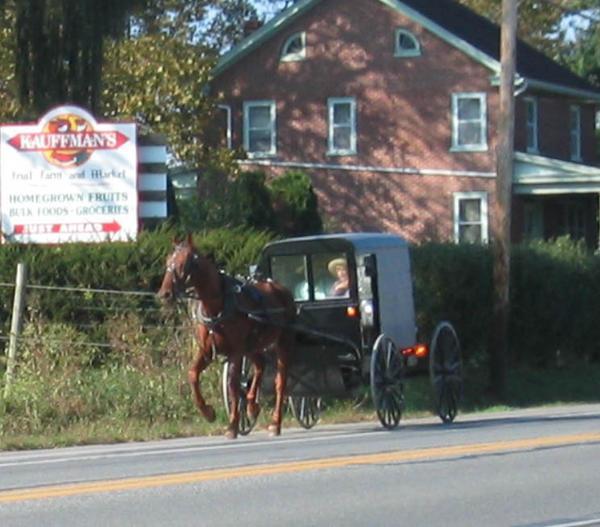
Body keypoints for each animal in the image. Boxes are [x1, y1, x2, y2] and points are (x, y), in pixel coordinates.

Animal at [156, 237, 294, 440]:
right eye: (167, 261)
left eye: (185, 262)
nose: (164, 293)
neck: (217, 306)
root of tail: (282, 288)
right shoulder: (207, 351)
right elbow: (193, 374)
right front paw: (208, 412)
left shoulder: (235, 352)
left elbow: (232, 385)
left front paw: (232, 426)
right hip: (252, 346)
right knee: (260, 365)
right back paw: (252, 406)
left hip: (282, 342)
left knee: (280, 382)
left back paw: (275, 423)